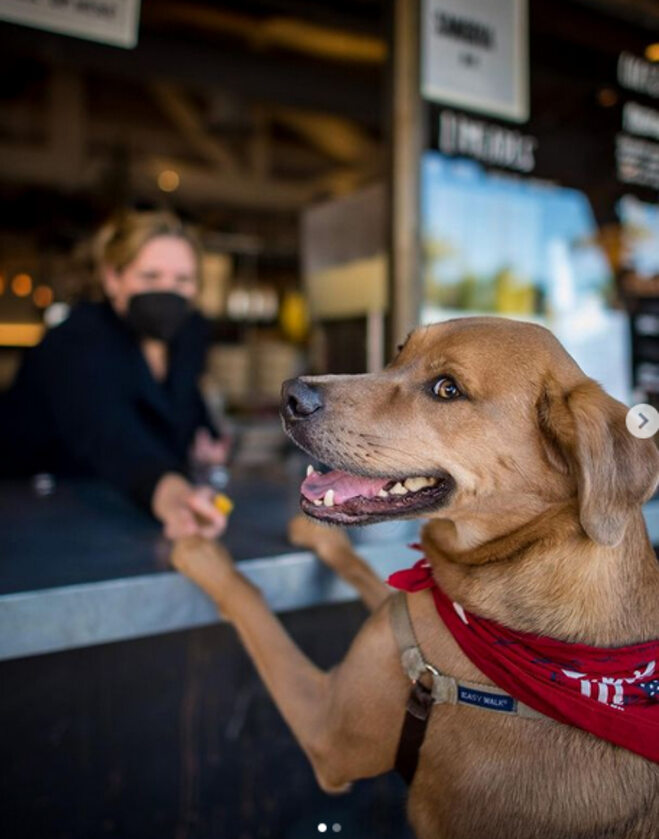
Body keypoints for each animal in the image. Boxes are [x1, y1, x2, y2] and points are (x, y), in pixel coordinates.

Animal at [171, 318, 659, 836]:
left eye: (448, 389)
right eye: (400, 351)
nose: (291, 394)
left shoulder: (327, 728)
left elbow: (250, 604)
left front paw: (202, 554)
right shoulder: (398, 609)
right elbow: (365, 571)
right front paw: (324, 540)